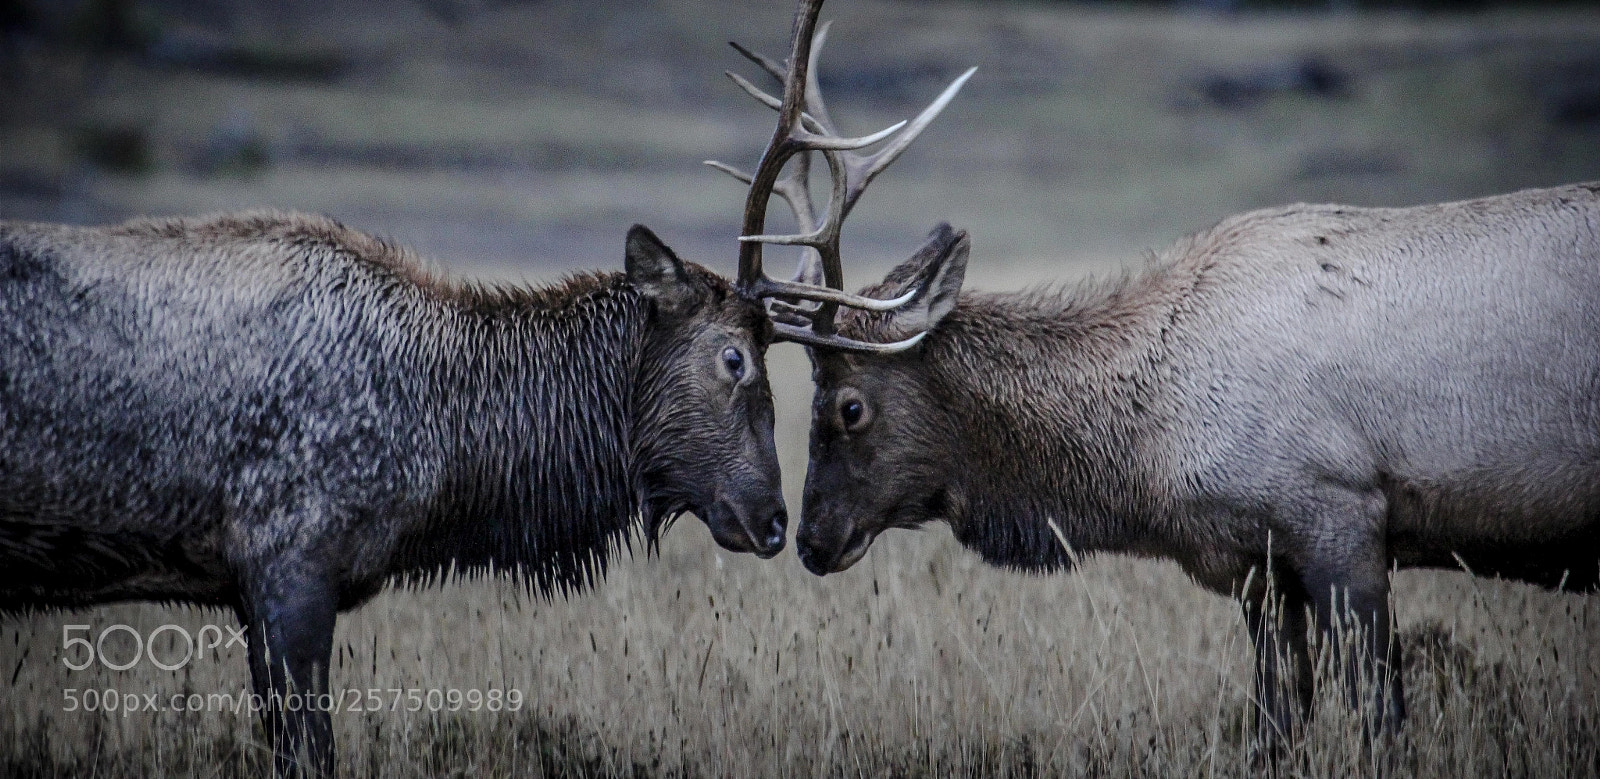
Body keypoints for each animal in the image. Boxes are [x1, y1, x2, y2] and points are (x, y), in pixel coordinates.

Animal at [0, 202, 897, 773]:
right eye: (735, 358)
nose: (776, 519)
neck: (445, 459)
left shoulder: (252, 588)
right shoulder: (287, 558)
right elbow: (310, 754)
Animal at [727, 0, 1600, 751]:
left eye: (848, 406)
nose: (808, 539)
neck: (1153, 456)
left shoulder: (1342, 513)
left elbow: (1380, 720)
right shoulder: (1260, 567)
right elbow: (1274, 724)